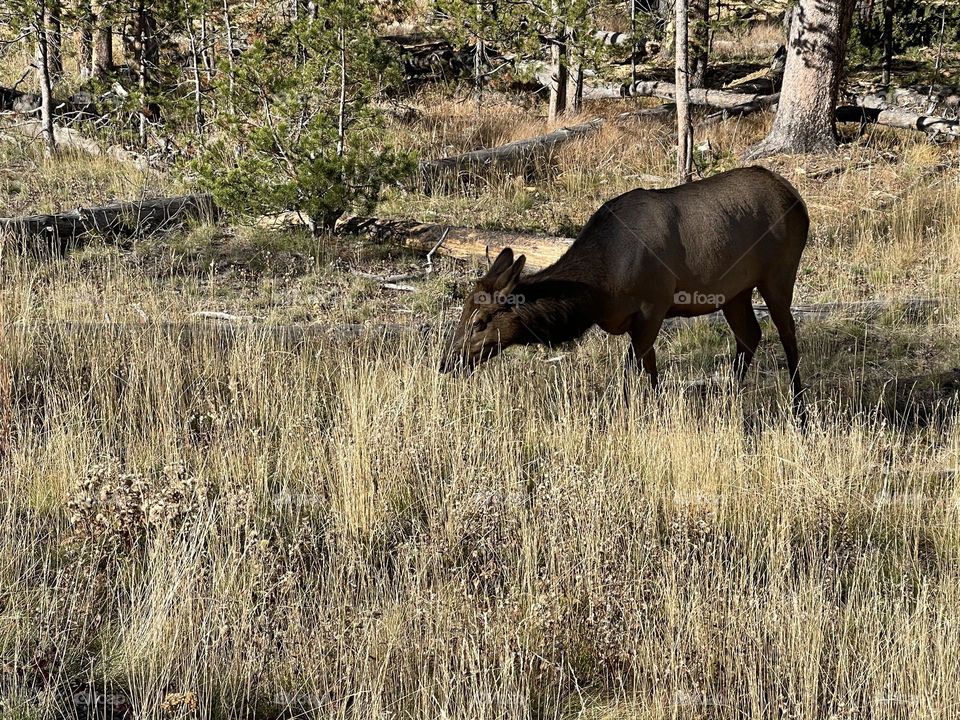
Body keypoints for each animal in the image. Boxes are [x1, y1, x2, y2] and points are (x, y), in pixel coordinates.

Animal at [439, 166, 810, 424]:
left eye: (480, 322)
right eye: (463, 314)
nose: (446, 362)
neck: (599, 293)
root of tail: (796, 197)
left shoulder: (654, 306)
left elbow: (630, 371)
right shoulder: (639, 319)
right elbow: (650, 367)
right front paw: (659, 412)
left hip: (779, 274)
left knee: (787, 333)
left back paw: (800, 410)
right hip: (736, 291)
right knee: (750, 334)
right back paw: (729, 400)